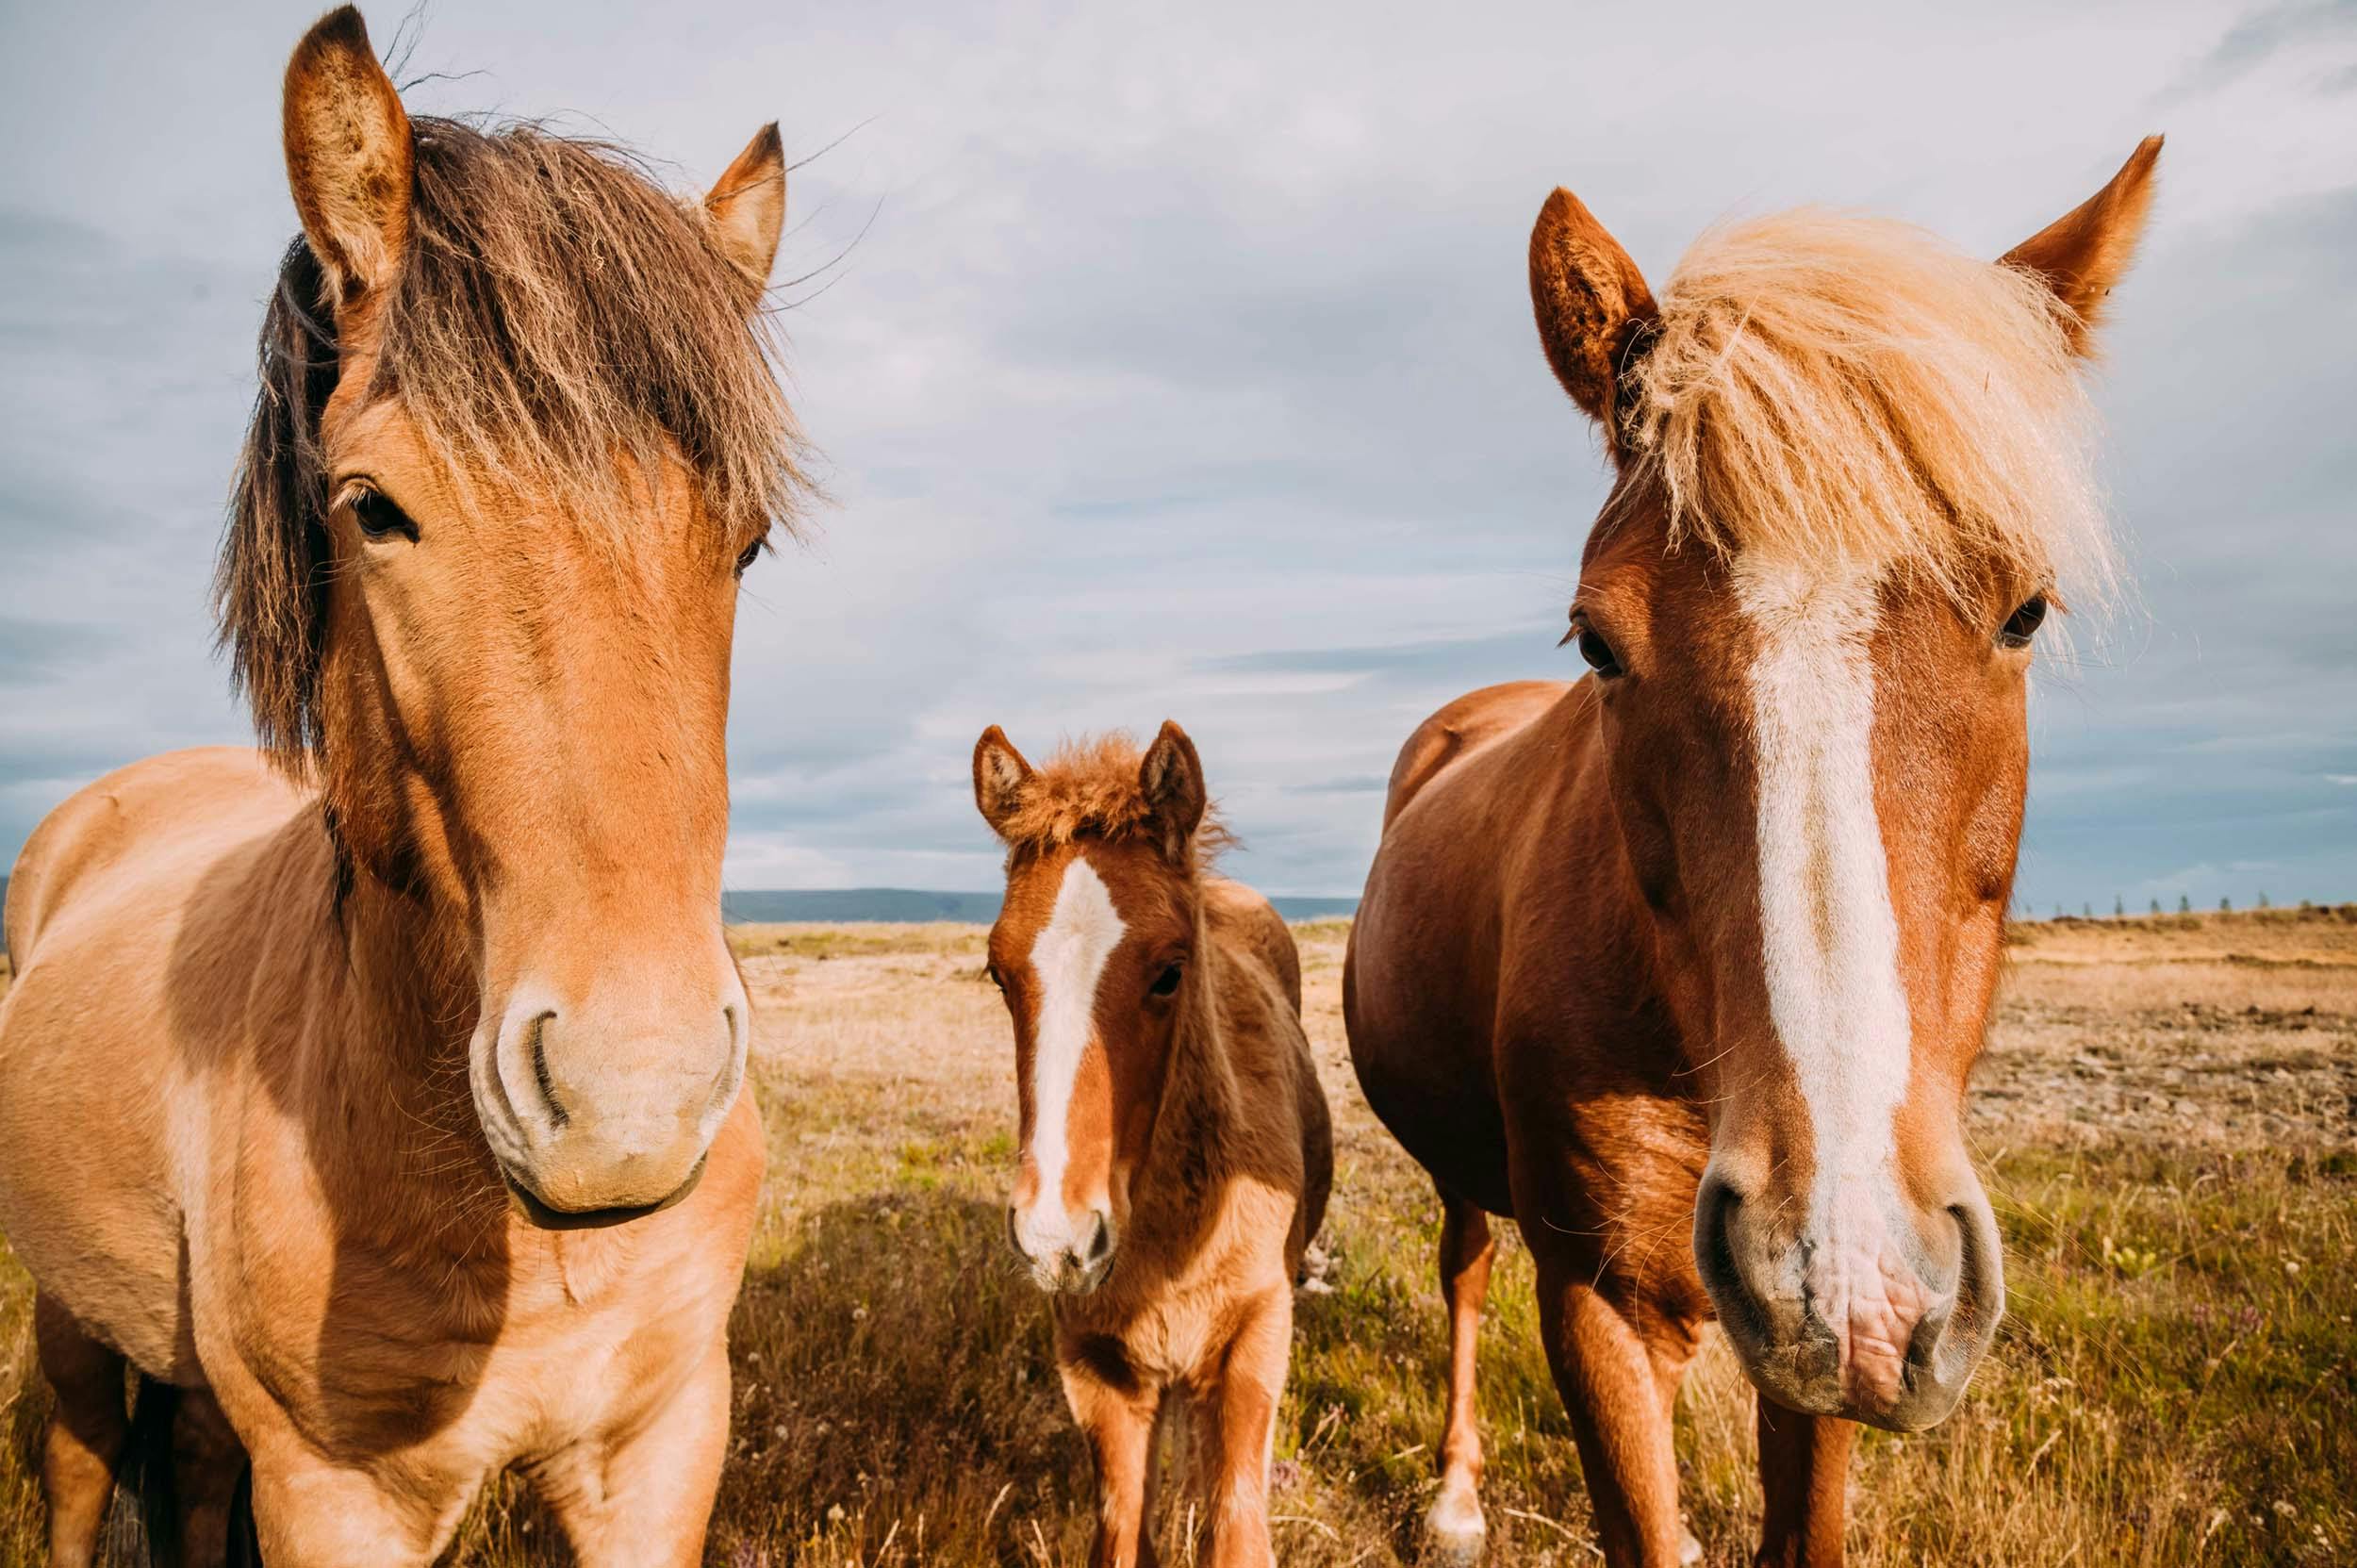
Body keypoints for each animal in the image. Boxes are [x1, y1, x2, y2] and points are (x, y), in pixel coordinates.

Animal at [0, 8, 801, 1556]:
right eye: (372, 506)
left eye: (746, 541)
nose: (632, 1099)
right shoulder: (337, 1490)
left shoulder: (663, 1440)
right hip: (69, 1316)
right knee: (75, 1470)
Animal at [966, 726, 1339, 1565]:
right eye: (999, 973)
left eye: (1171, 971)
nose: (1057, 1238)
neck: (1173, 1235)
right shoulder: (1097, 1364)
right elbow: (1124, 1530)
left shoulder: (1255, 1344)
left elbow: (1237, 1530)